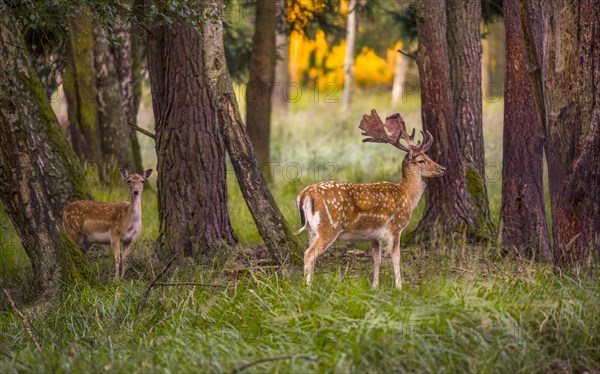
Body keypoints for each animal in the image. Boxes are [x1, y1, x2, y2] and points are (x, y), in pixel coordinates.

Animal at [298, 109, 448, 288]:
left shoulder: (374, 236)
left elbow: (377, 259)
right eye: (421, 160)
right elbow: (395, 257)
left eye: (427, 156)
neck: (407, 195)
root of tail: (305, 194)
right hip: (329, 227)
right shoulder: (396, 227)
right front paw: (399, 287)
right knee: (309, 254)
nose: (442, 168)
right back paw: (308, 288)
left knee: (310, 254)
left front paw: (374, 286)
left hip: (312, 230)